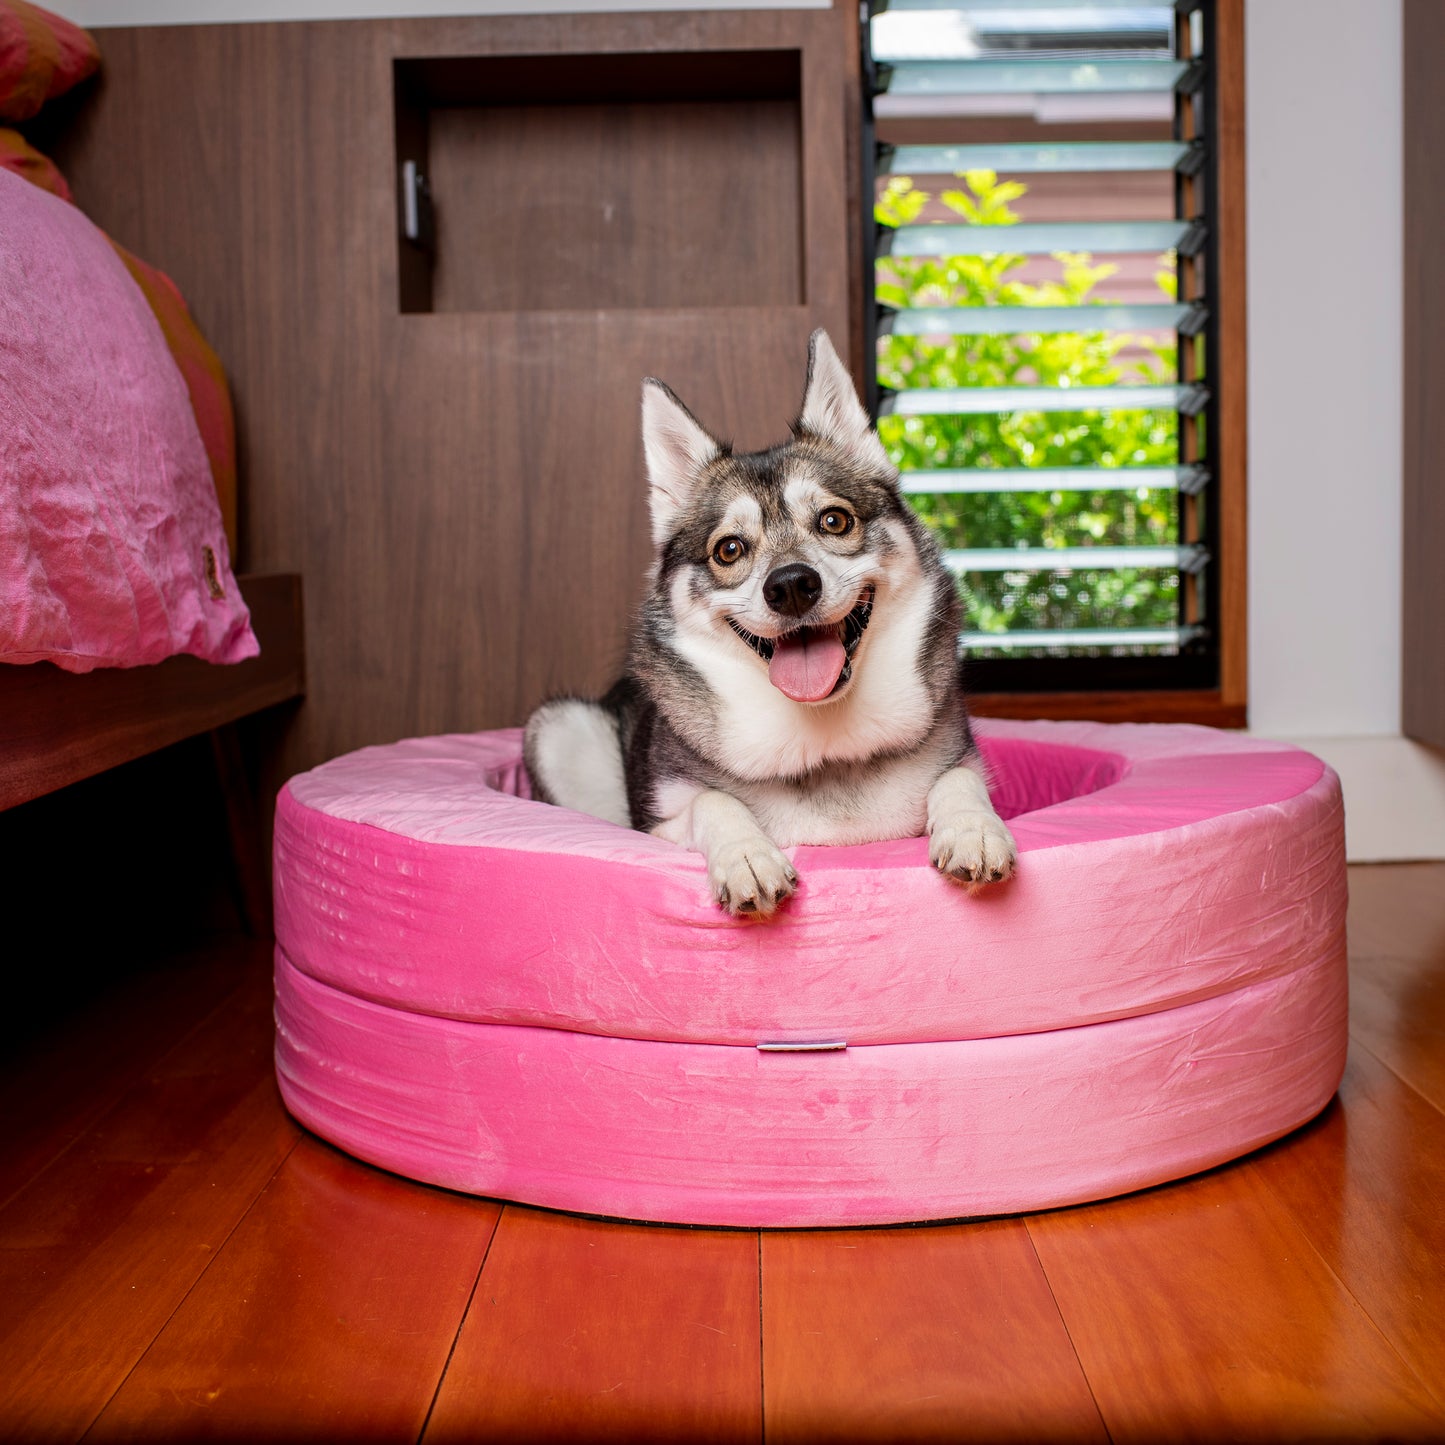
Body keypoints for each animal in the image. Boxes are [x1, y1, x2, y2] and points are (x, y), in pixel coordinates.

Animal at [523, 330, 1017, 913]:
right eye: (729, 549)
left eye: (834, 520)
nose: (791, 586)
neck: (824, 746)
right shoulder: (657, 826)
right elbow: (713, 803)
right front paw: (746, 855)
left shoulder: (960, 762)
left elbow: (959, 780)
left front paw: (972, 828)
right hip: (558, 727)